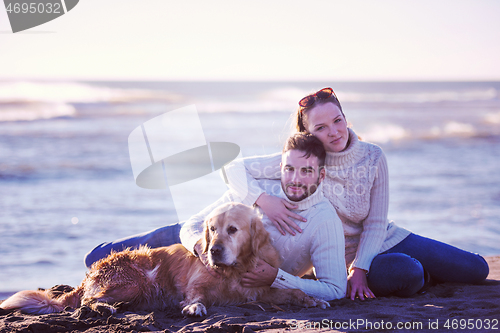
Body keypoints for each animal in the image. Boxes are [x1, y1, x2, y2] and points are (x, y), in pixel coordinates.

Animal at [1, 201, 330, 316]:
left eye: (233, 230)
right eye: (212, 229)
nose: (213, 251)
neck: (234, 271)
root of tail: (90, 273)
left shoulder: (257, 289)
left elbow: (290, 291)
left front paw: (311, 299)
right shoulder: (196, 283)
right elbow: (196, 295)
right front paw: (194, 307)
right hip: (135, 281)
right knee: (86, 301)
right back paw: (104, 307)